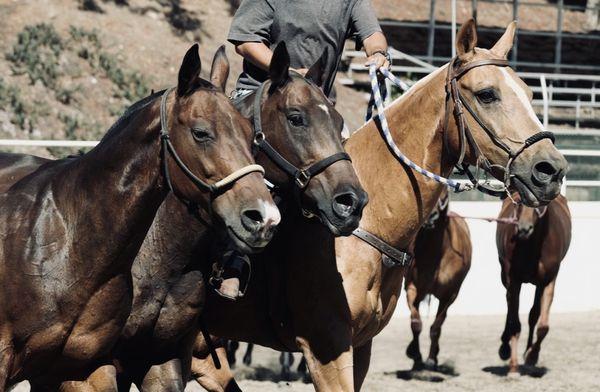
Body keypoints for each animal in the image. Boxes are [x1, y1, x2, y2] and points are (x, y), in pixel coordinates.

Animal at [406, 190, 472, 370]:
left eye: (445, 192)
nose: (431, 215)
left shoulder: (449, 296)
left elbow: (436, 327)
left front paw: (430, 359)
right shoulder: (412, 288)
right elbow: (416, 323)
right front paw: (416, 356)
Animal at [494, 194, 576, 376]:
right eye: (519, 201)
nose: (524, 229)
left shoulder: (548, 281)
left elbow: (542, 325)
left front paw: (532, 357)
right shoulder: (513, 280)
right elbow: (514, 322)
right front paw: (513, 367)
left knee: (533, 314)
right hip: (505, 276)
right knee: (509, 305)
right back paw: (505, 347)